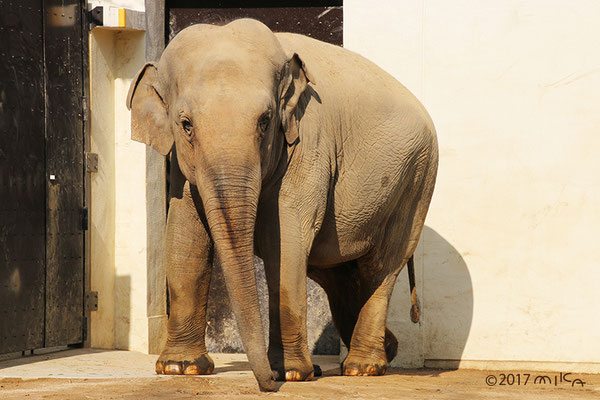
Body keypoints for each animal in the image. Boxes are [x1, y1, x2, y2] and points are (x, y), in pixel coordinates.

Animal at [126, 18, 436, 390]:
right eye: (185, 125)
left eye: (265, 121)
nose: (268, 384)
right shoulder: (179, 163)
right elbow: (185, 236)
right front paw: (180, 367)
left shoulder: (308, 140)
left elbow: (284, 240)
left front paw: (291, 373)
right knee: (337, 275)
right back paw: (385, 351)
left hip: (416, 179)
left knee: (381, 265)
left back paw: (363, 368)